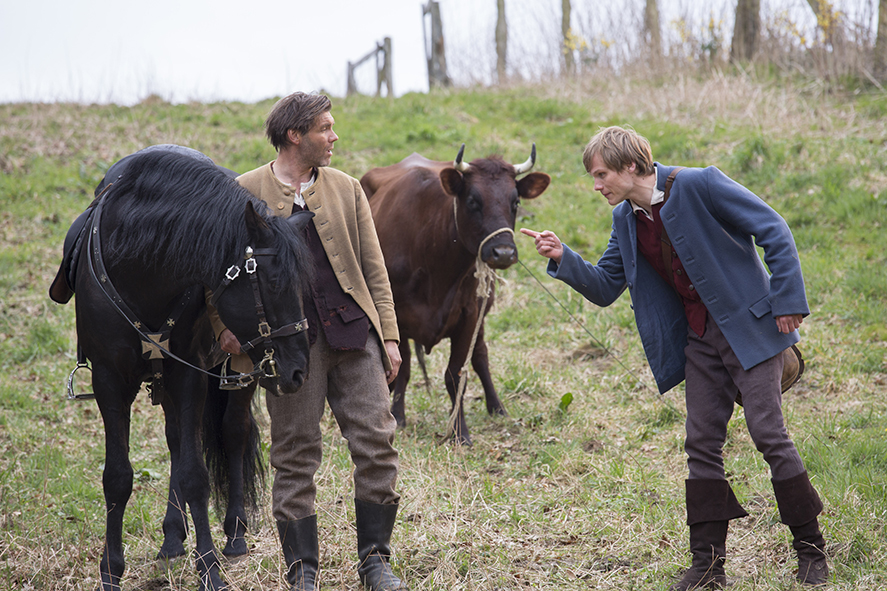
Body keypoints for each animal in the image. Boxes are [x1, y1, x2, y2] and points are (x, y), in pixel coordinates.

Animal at [69, 149, 314, 591]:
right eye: (272, 283)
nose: (299, 371)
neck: (138, 265)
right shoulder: (108, 381)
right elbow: (118, 477)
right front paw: (110, 569)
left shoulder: (190, 376)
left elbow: (195, 474)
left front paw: (210, 568)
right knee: (175, 441)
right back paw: (171, 536)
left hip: (237, 370)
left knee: (231, 434)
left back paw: (233, 533)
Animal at [360, 145, 548, 444]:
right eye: (472, 200)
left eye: (516, 201)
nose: (504, 252)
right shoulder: (395, 315)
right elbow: (402, 368)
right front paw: (397, 416)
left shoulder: (469, 314)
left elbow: (457, 374)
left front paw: (460, 431)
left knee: (481, 355)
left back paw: (497, 407)